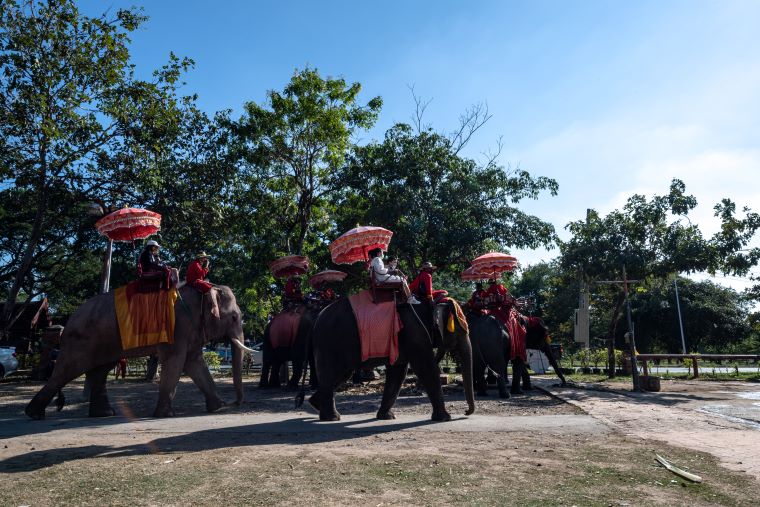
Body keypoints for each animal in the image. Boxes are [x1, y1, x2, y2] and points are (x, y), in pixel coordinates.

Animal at [25, 286, 251, 420]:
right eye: (233, 317)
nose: (235, 403)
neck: (203, 288)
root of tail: (68, 323)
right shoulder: (177, 327)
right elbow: (175, 361)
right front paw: (165, 415)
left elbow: (194, 363)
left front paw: (217, 408)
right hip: (80, 341)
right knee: (67, 372)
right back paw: (34, 414)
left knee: (100, 371)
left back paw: (104, 414)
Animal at [304, 300, 472, 422]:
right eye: (460, 331)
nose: (465, 412)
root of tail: (317, 319)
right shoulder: (415, 334)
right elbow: (425, 368)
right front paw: (445, 418)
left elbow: (398, 372)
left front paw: (386, 417)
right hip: (329, 343)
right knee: (331, 374)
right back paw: (331, 417)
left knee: (341, 374)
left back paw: (315, 404)